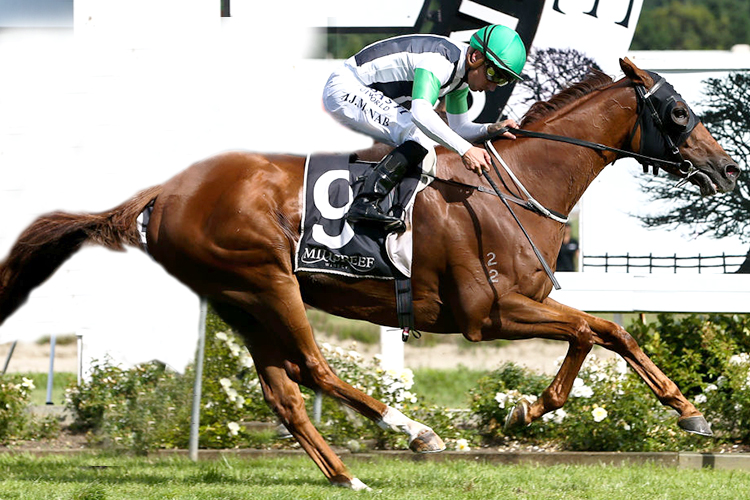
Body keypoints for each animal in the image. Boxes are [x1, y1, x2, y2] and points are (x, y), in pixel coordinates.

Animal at [0, 58, 740, 488]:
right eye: (678, 112)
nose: (729, 168)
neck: (515, 184)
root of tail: (164, 192)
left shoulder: (522, 302)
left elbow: (604, 333)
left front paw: (680, 412)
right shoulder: (488, 311)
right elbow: (596, 330)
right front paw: (532, 412)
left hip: (240, 296)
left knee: (284, 391)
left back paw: (345, 476)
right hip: (267, 280)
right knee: (314, 368)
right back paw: (413, 432)